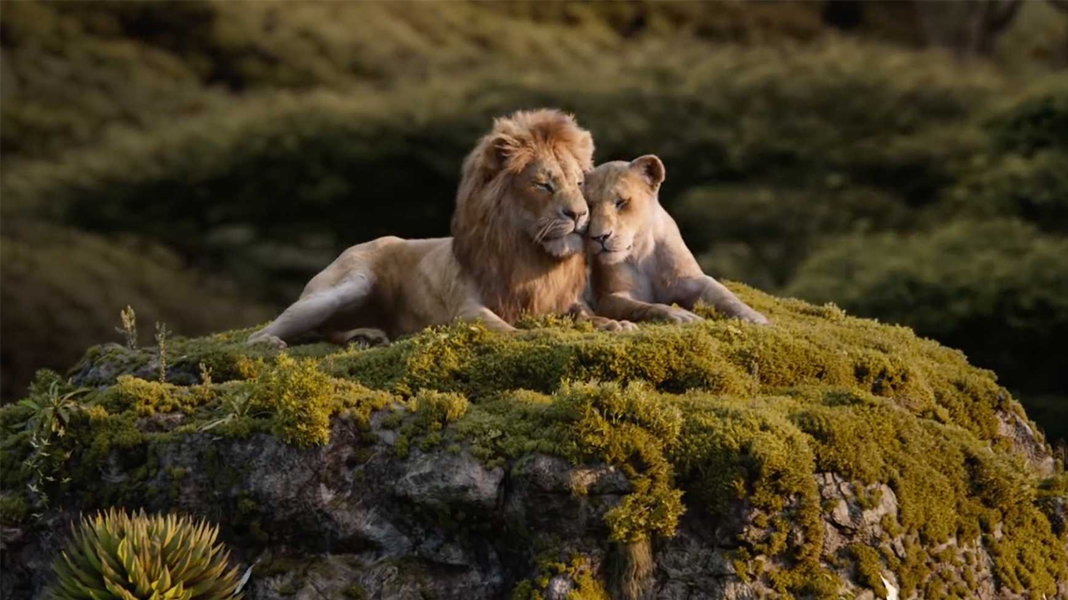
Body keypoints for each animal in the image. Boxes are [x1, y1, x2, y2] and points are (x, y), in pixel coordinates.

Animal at [247, 109, 629, 348]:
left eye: (579, 183)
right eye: (543, 185)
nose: (579, 215)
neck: (529, 253)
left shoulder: (561, 300)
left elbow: (586, 314)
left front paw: (615, 324)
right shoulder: (464, 309)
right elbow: (502, 327)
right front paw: (531, 335)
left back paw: (366, 336)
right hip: (351, 283)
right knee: (284, 326)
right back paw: (268, 341)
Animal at [583, 155, 769, 325]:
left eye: (621, 202)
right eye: (589, 206)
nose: (599, 237)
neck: (641, 253)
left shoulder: (691, 280)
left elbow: (724, 296)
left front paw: (755, 318)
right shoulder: (607, 298)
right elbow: (644, 307)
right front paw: (681, 315)